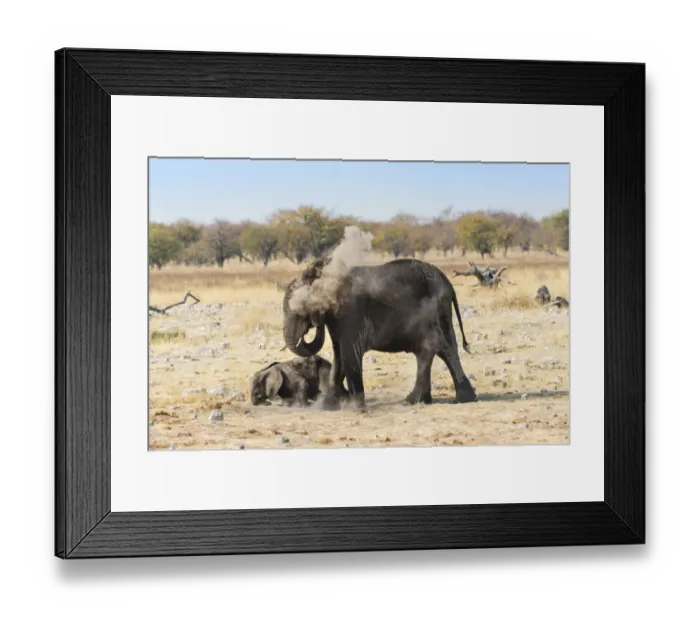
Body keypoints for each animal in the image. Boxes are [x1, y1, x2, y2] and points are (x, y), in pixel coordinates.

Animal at [282, 257, 478, 410]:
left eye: (299, 312)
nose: (313, 324)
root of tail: (447, 282)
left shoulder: (351, 314)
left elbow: (349, 353)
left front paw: (355, 407)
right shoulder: (336, 321)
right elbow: (339, 356)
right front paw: (326, 406)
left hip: (435, 309)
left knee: (434, 346)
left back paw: (417, 400)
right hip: (441, 311)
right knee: (444, 348)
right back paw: (452, 399)